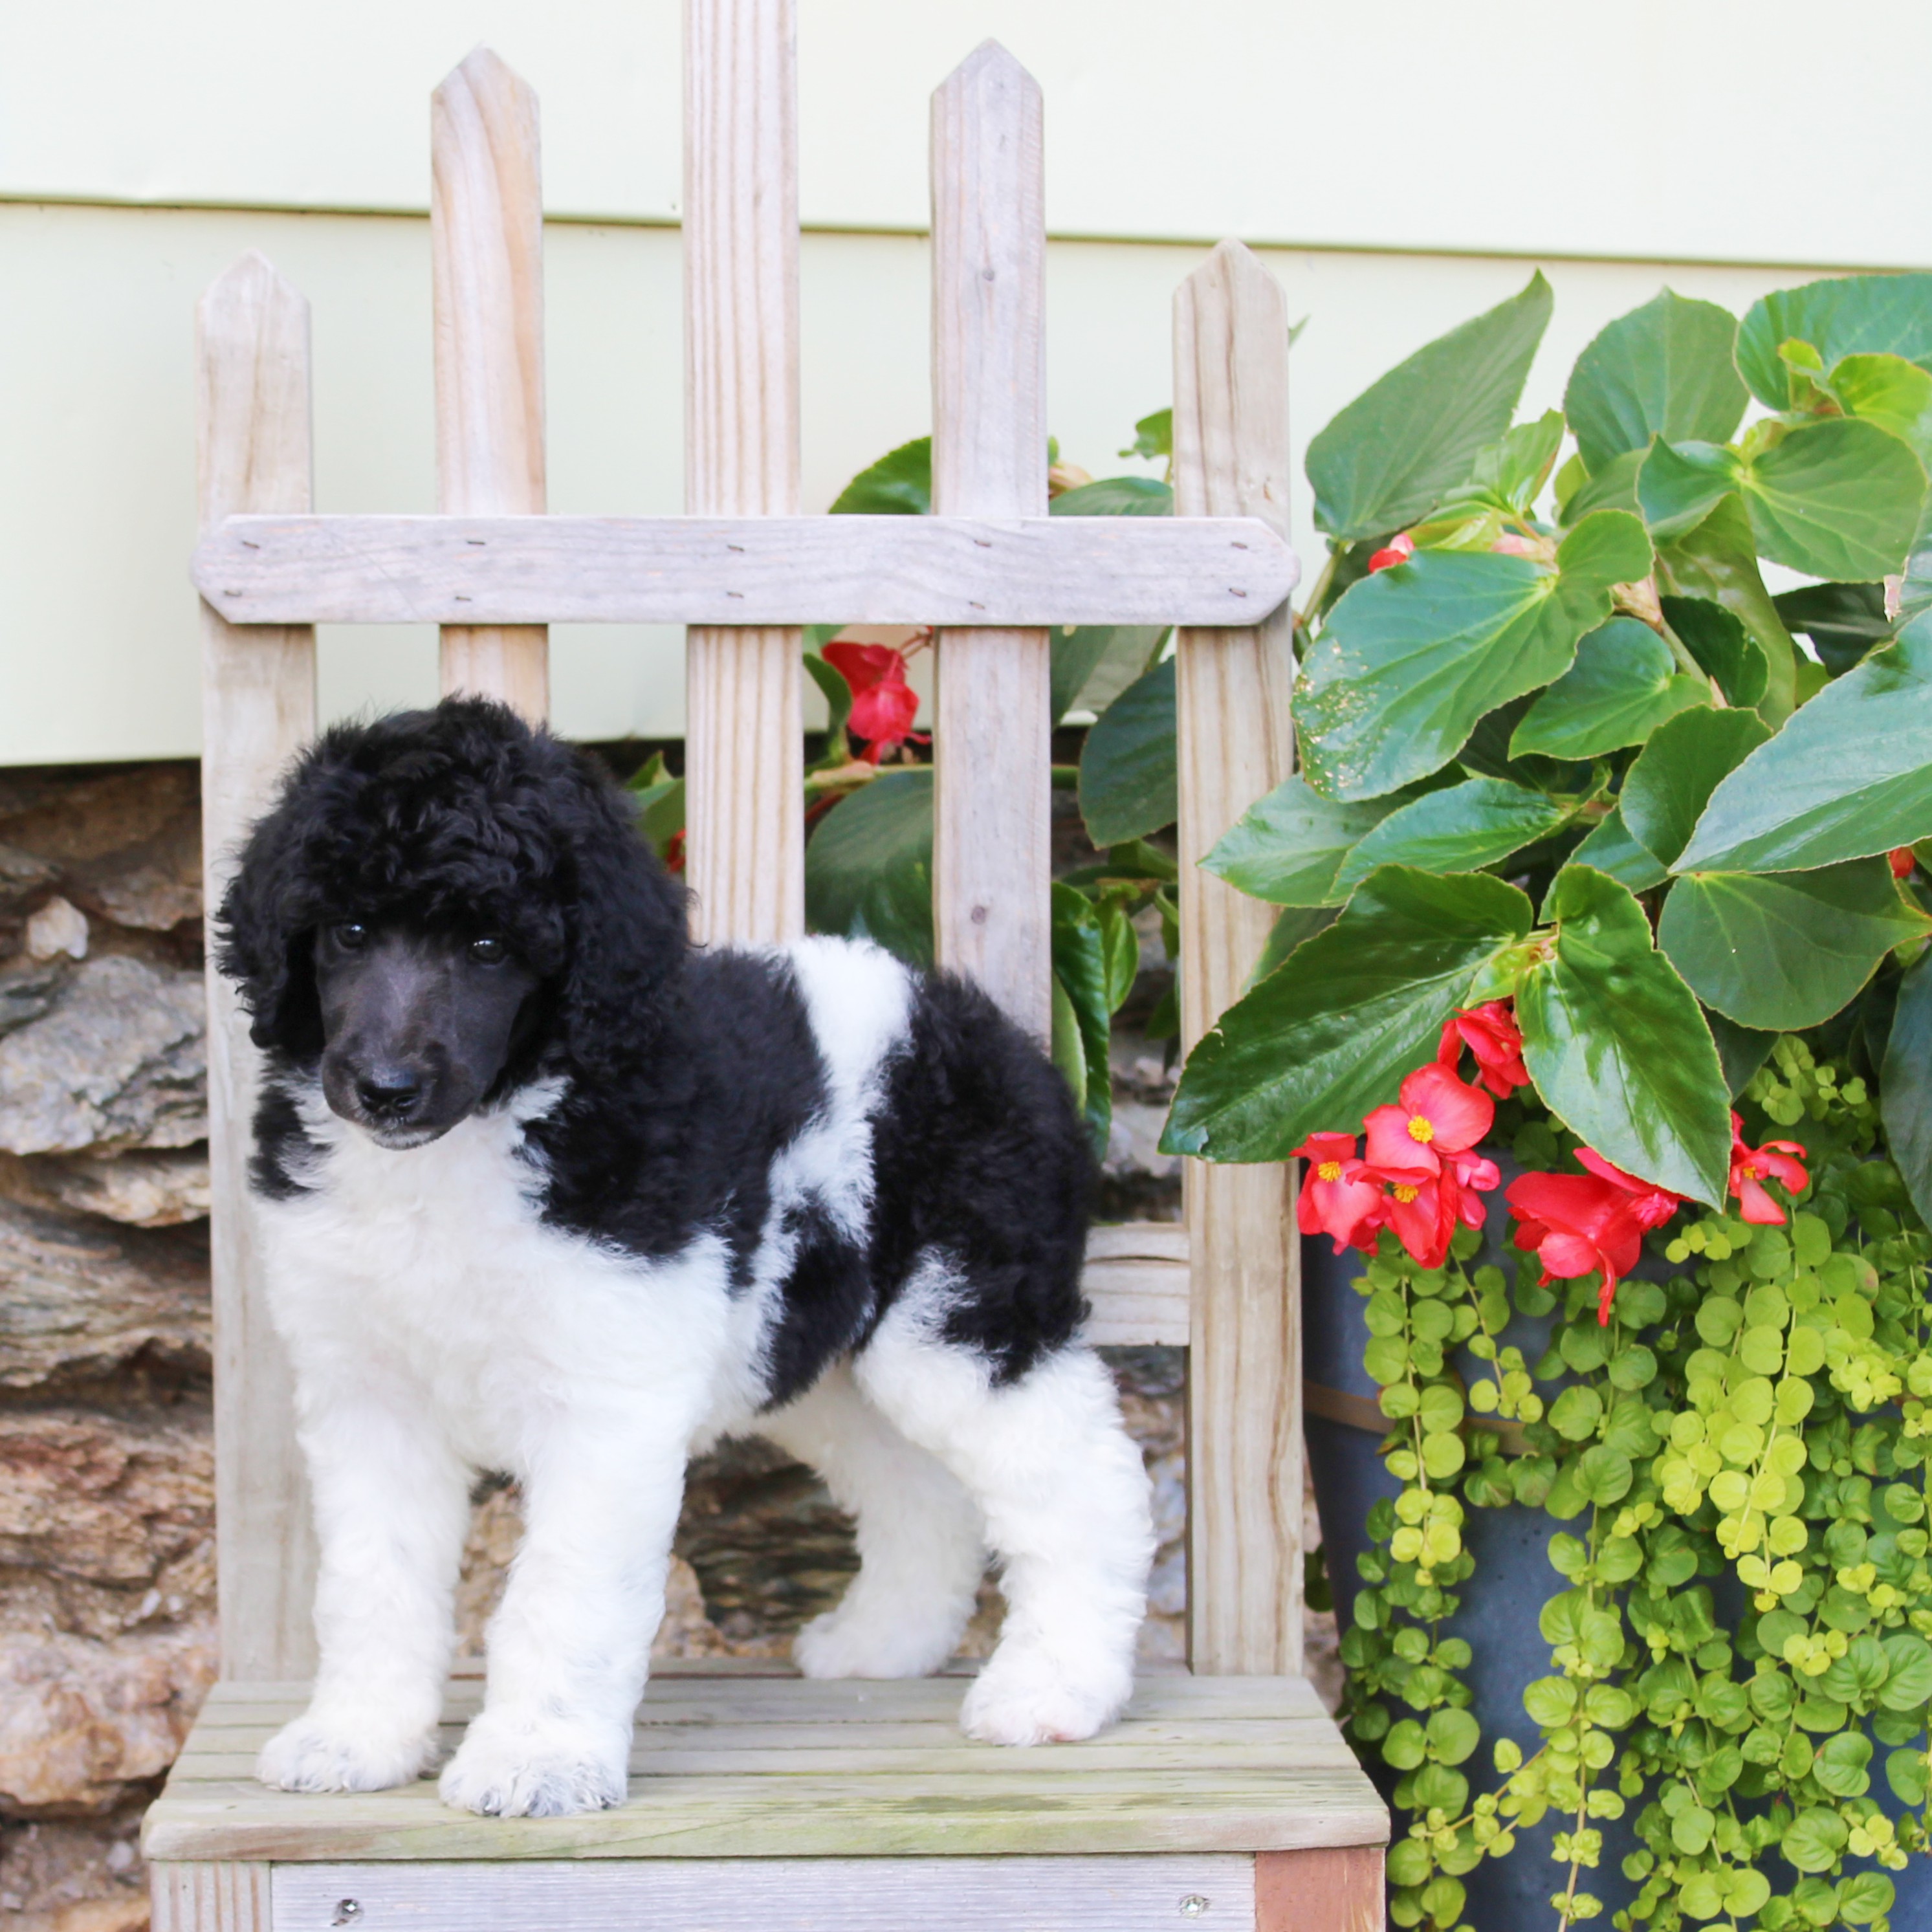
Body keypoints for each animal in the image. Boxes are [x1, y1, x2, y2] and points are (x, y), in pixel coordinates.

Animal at [215, 703, 1143, 1816]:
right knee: (918, 1493)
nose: (386, 1087)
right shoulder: (367, 1395)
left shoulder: (604, 1400)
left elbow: (561, 1593)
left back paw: (1055, 1689)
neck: (476, 1138)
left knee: (1083, 1482)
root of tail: (989, 1031)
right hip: (818, 1352)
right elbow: (372, 1581)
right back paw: (885, 1643)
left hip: (962, 1319)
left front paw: (535, 1759)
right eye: (348, 933)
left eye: (487, 946)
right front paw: (355, 1738)